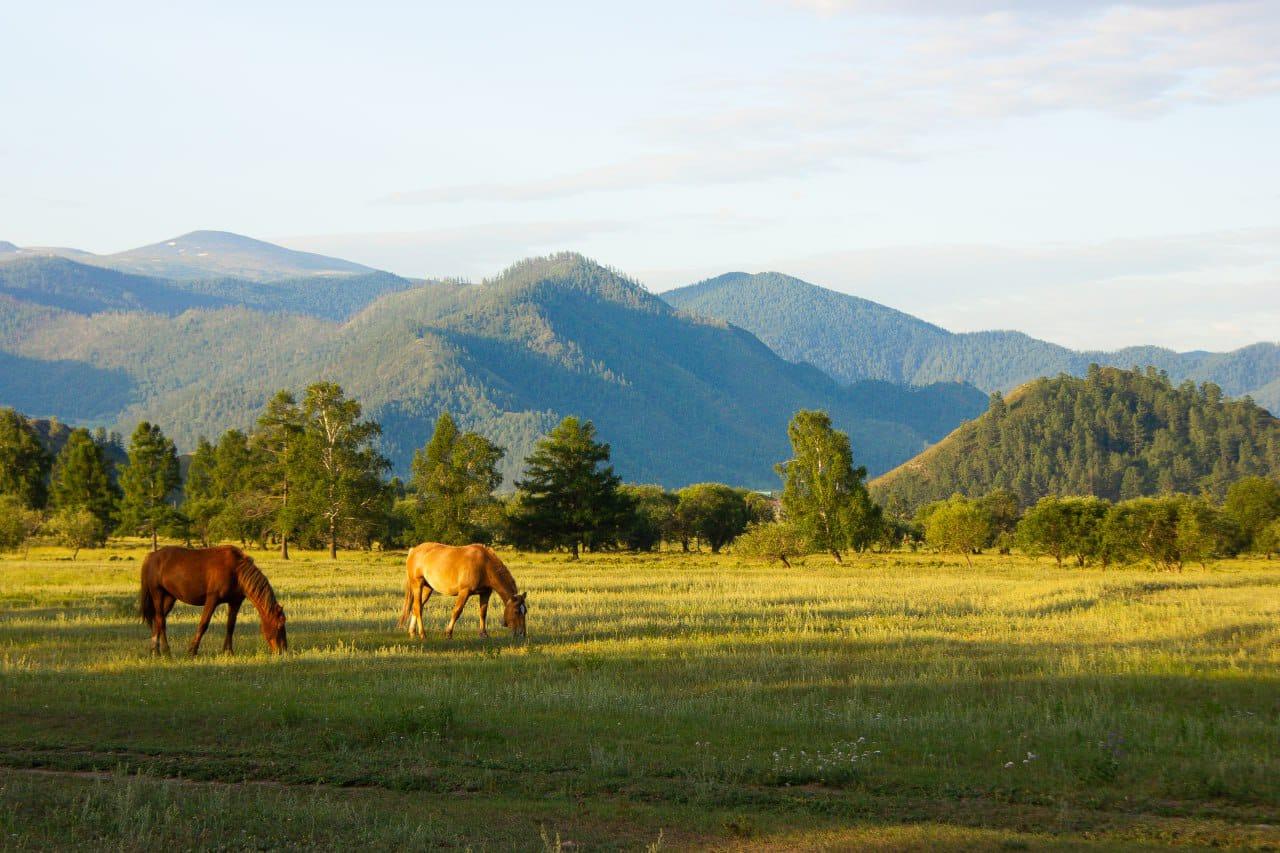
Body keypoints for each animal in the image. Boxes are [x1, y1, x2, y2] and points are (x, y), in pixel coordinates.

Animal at [141, 540, 289, 653]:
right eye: (280, 625)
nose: (283, 650)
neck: (236, 571)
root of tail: (152, 556)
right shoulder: (212, 600)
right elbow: (203, 624)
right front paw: (192, 650)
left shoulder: (235, 602)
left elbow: (230, 626)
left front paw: (228, 651)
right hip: (157, 593)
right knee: (160, 619)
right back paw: (165, 651)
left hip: (170, 597)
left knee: (158, 620)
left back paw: (155, 650)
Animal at [394, 540, 524, 635]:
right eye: (516, 611)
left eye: (525, 611)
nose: (521, 634)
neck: (484, 565)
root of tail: (413, 551)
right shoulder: (464, 592)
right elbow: (457, 611)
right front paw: (448, 633)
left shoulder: (485, 593)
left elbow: (483, 612)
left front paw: (483, 634)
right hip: (418, 584)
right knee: (418, 608)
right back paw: (422, 634)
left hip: (427, 588)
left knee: (416, 607)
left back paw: (412, 632)